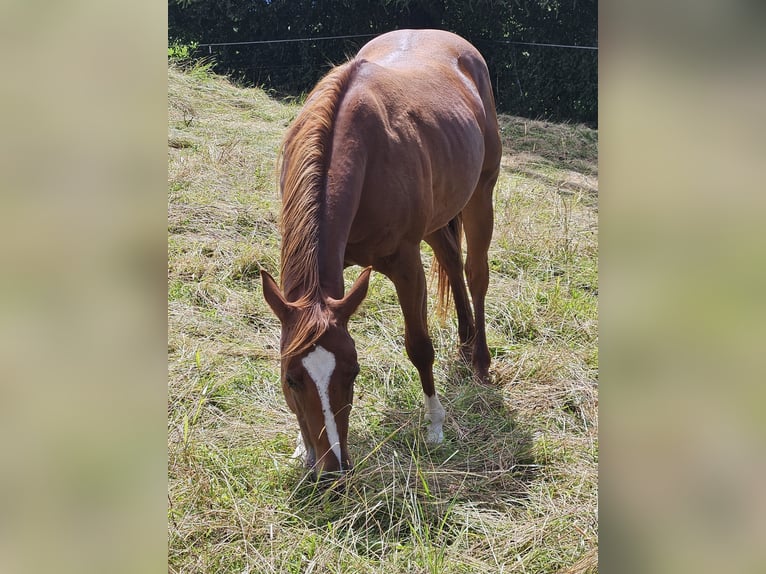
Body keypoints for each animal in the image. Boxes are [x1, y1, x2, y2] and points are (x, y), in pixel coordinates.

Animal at [261, 29, 501, 479]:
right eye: (291, 379)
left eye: (353, 372)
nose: (332, 470)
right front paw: (301, 448)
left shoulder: (405, 265)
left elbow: (419, 345)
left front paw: (435, 425)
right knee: (450, 260)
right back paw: (464, 342)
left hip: (481, 194)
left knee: (475, 273)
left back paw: (479, 359)